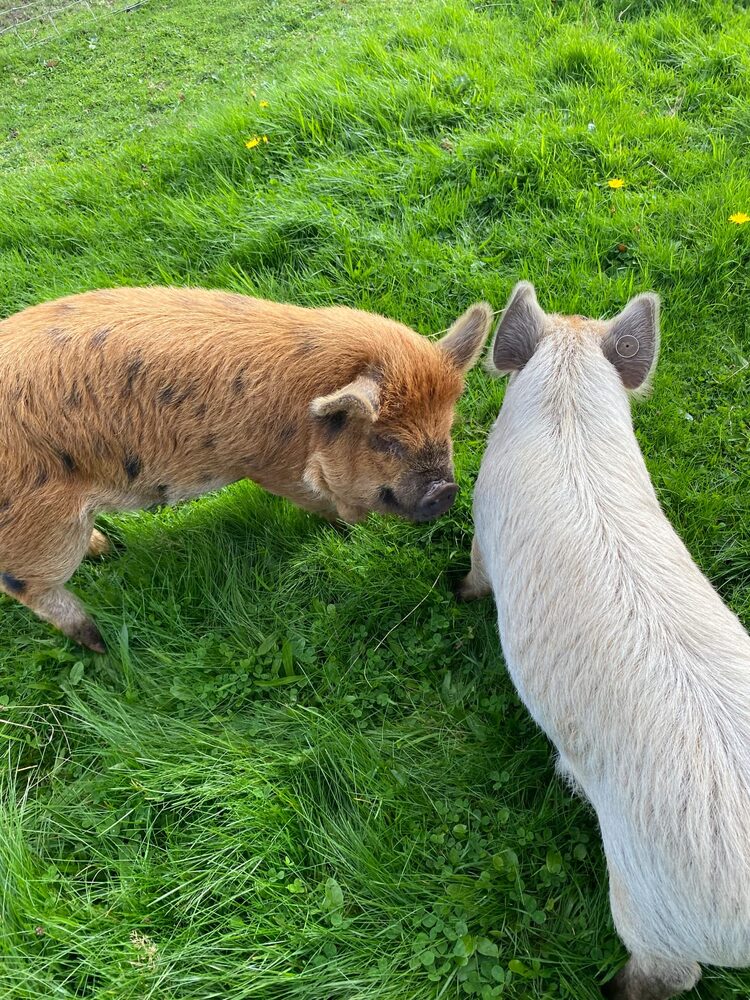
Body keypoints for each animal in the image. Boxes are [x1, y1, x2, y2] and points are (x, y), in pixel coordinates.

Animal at [0, 285, 492, 651]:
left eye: (447, 426)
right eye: (385, 441)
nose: (446, 491)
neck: (302, 424)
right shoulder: (271, 466)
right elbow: (322, 501)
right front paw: (352, 532)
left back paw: (109, 551)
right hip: (41, 524)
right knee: (24, 585)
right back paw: (98, 641)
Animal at [458, 282, 750, 999]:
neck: (569, 407)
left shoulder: (481, 519)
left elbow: (477, 571)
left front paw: (457, 591)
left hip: (648, 905)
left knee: (668, 973)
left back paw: (609, 987)